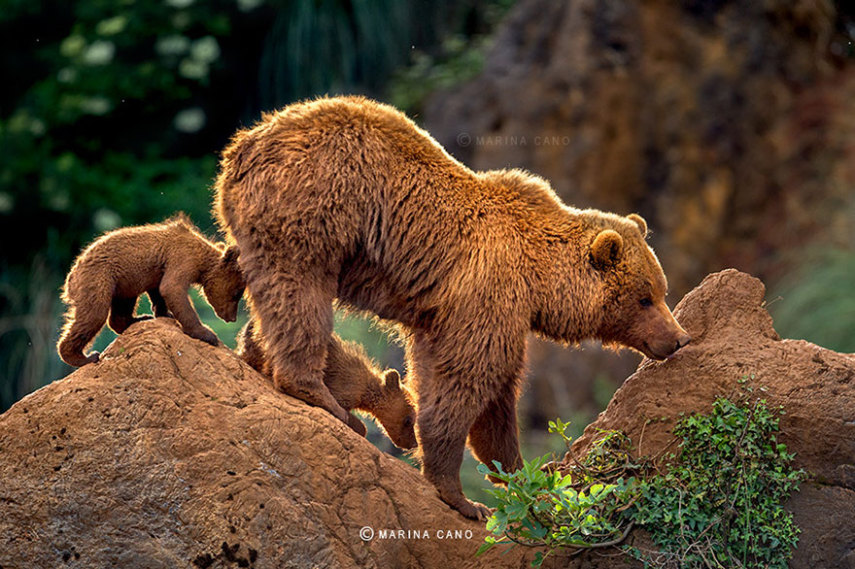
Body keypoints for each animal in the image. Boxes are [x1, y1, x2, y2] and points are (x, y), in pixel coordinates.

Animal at [57, 214, 246, 368]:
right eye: (237, 293)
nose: (231, 318)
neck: (202, 260)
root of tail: (71, 276)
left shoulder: (159, 270)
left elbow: (159, 292)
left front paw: (165, 313)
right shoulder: (182, 257)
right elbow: (172, 288)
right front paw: (207, 333)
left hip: (123, 281)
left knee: (121, 307)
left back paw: (138, 319)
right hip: (99, 277)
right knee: (94, 313)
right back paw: (84, 356)